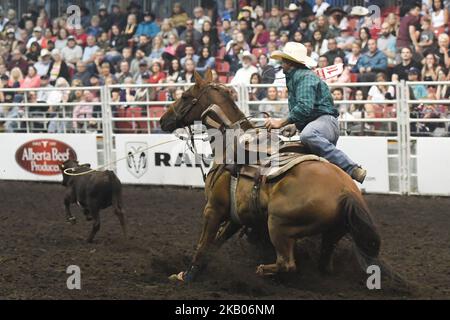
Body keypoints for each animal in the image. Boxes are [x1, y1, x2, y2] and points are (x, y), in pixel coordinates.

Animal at [160, 70, 382, 282]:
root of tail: (347, 192)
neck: (230, 144)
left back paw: (262, 270)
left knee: (287, 264)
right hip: (331, 234)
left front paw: (187, 275)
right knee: (324, 266)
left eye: (185, 96)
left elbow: (203, 244)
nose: (163, 120)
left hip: (278, 224)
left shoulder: (214, 209)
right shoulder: (235, 217)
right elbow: (214, 245)